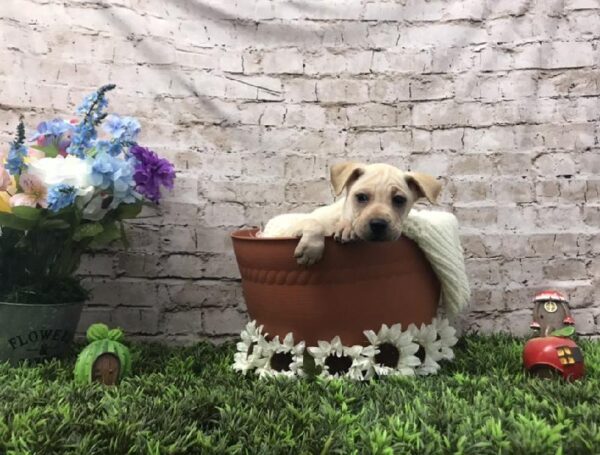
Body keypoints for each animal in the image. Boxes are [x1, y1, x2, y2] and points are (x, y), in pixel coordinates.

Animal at [260, 162, 442, 266]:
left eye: (399, 200)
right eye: (361, 197)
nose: (378, 224)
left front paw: (347, 229)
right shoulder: (293, 227)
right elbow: (314, 223)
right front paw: (311, 250)